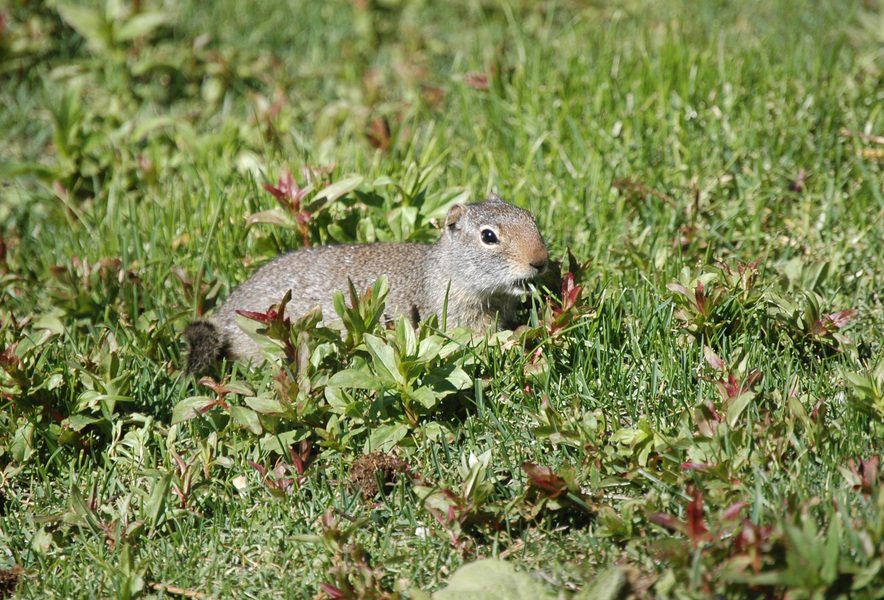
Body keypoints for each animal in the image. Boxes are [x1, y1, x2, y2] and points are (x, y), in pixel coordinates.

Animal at [184, 195, 548, 372]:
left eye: (531, 218)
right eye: (488, 236)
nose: (541, 261)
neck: (444, 271)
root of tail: (225, 316)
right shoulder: (453, 322)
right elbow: (480, 341)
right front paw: (523, 336)